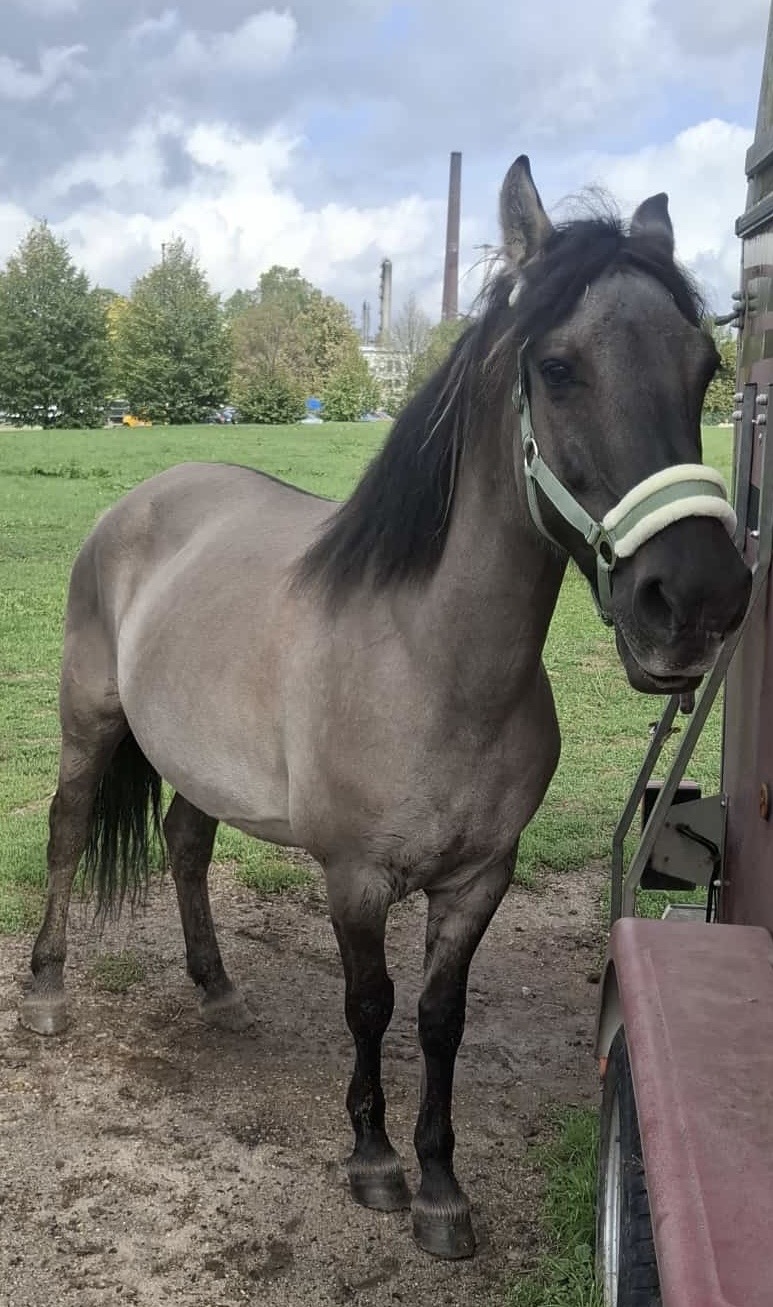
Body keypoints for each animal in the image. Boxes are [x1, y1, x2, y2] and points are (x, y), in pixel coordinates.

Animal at [19, 155, 751, 1260]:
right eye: (557, 366)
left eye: (703, 365)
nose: (697, 600)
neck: (432, 664)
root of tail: (144, 496)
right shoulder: (354, 878)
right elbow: (370, 1003)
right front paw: (371, 1161)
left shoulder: (479, 880)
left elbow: (441, 1018)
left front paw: (441, 1185)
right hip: (88, 722)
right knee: (66, 833)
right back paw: (48, 991)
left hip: (200, 761)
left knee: (185, 842)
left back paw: (216, 988)